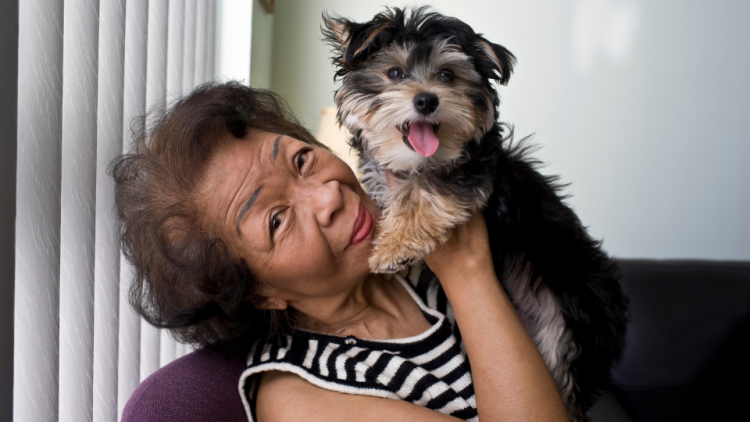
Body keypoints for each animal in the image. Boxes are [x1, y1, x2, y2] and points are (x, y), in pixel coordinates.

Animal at [326, 7, 632, 422]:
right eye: (394, 72)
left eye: (447, 75)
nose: (427, 101)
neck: (415, 160)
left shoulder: (473, 170)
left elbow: (428, 190)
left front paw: (393, 249)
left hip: (572, 320)